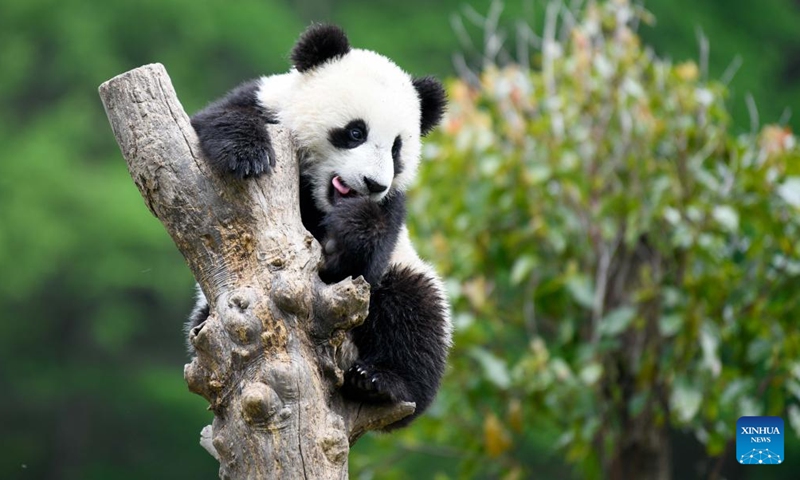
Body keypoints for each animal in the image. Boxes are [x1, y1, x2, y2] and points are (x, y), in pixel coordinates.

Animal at [187, 24, 451, 429]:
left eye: (396, 149)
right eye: (355, 132)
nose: (373, 183)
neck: (317, 200)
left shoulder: (392, 208)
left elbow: (366, 257)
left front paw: (345, 237)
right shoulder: (263, 103)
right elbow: (219, 118)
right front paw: (246, 153)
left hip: (406, 276)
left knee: (414, 312)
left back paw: (381, 382)